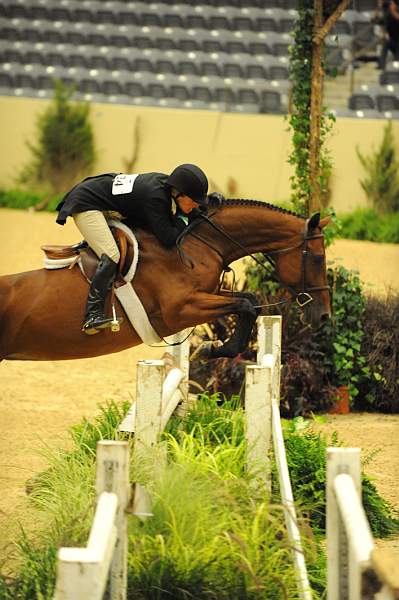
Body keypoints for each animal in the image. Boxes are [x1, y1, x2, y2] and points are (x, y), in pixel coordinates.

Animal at [0, 200, 332, 360]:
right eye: (317, 258)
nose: (324, 316)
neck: (199, 244)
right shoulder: (181, 309)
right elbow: (247, 305)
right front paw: (212, 350)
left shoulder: (204, 297)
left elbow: (248, 301)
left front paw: (215, 349)